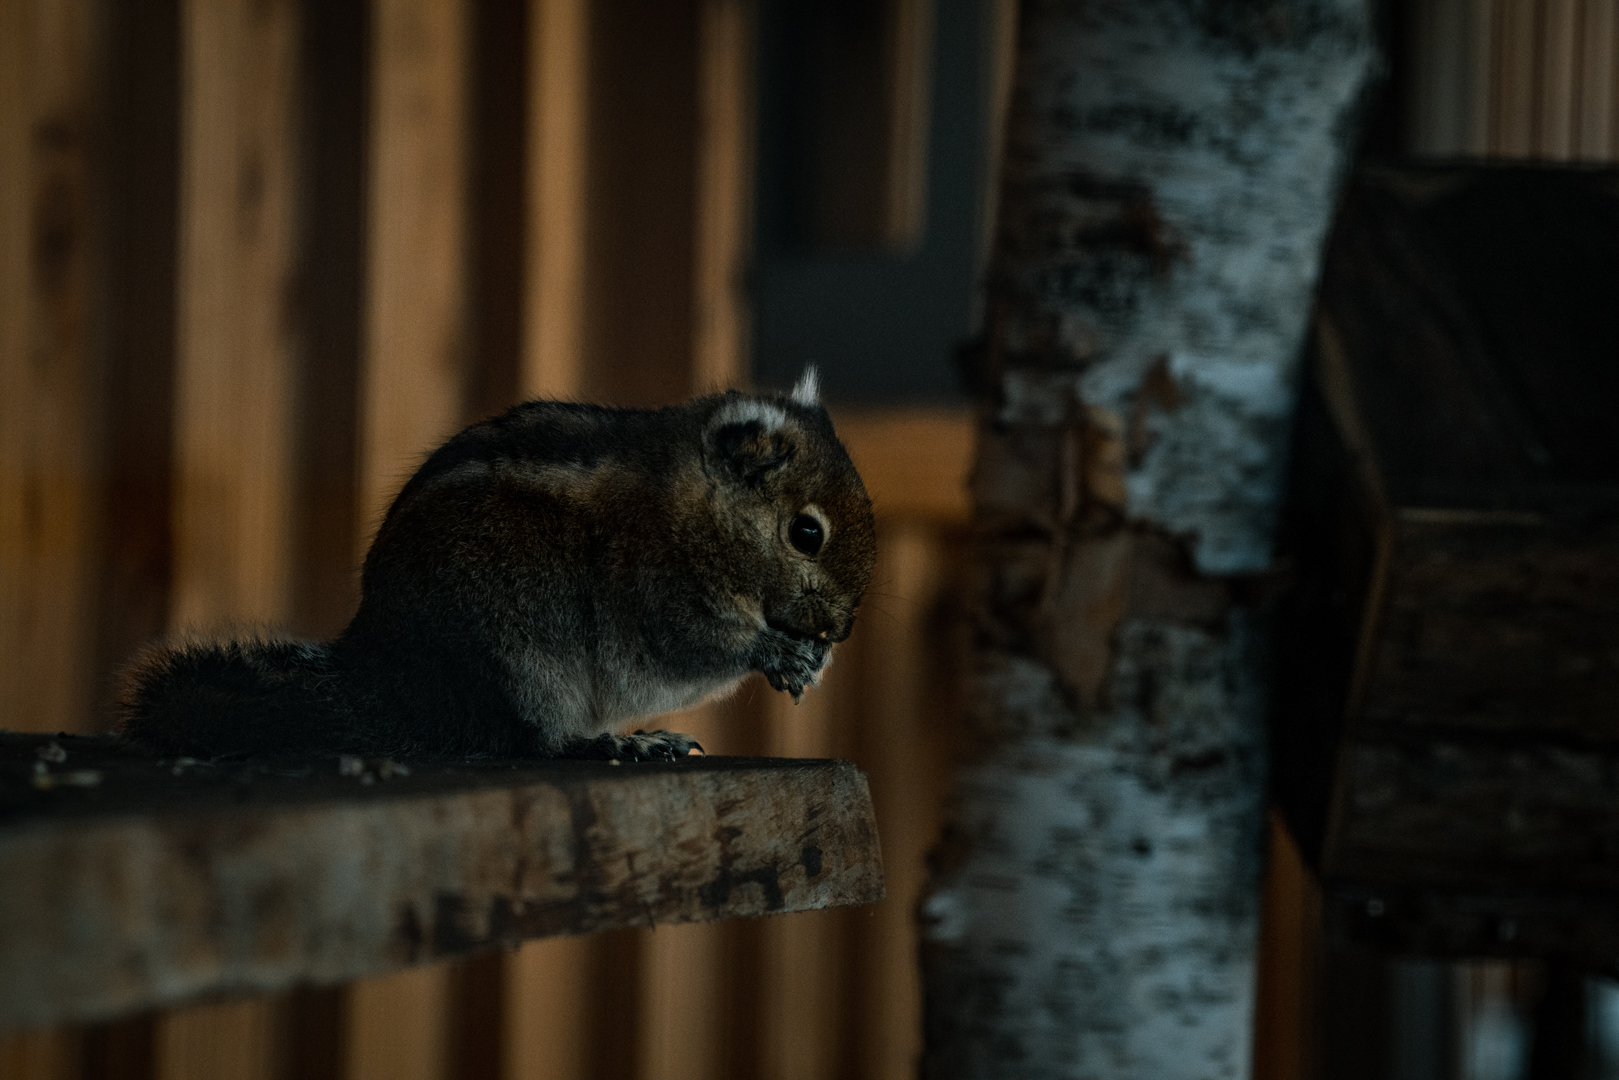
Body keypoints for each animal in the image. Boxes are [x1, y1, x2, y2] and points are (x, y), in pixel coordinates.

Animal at [120, 369, 876, 762]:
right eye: (806, 532)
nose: (840, 630)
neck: (695, 505)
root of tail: (387, 671)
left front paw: (814, 662)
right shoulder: (659, 587)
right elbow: (697, 643)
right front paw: (776, 652)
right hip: (525, 664)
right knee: (536, 741)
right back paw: (607, 747)